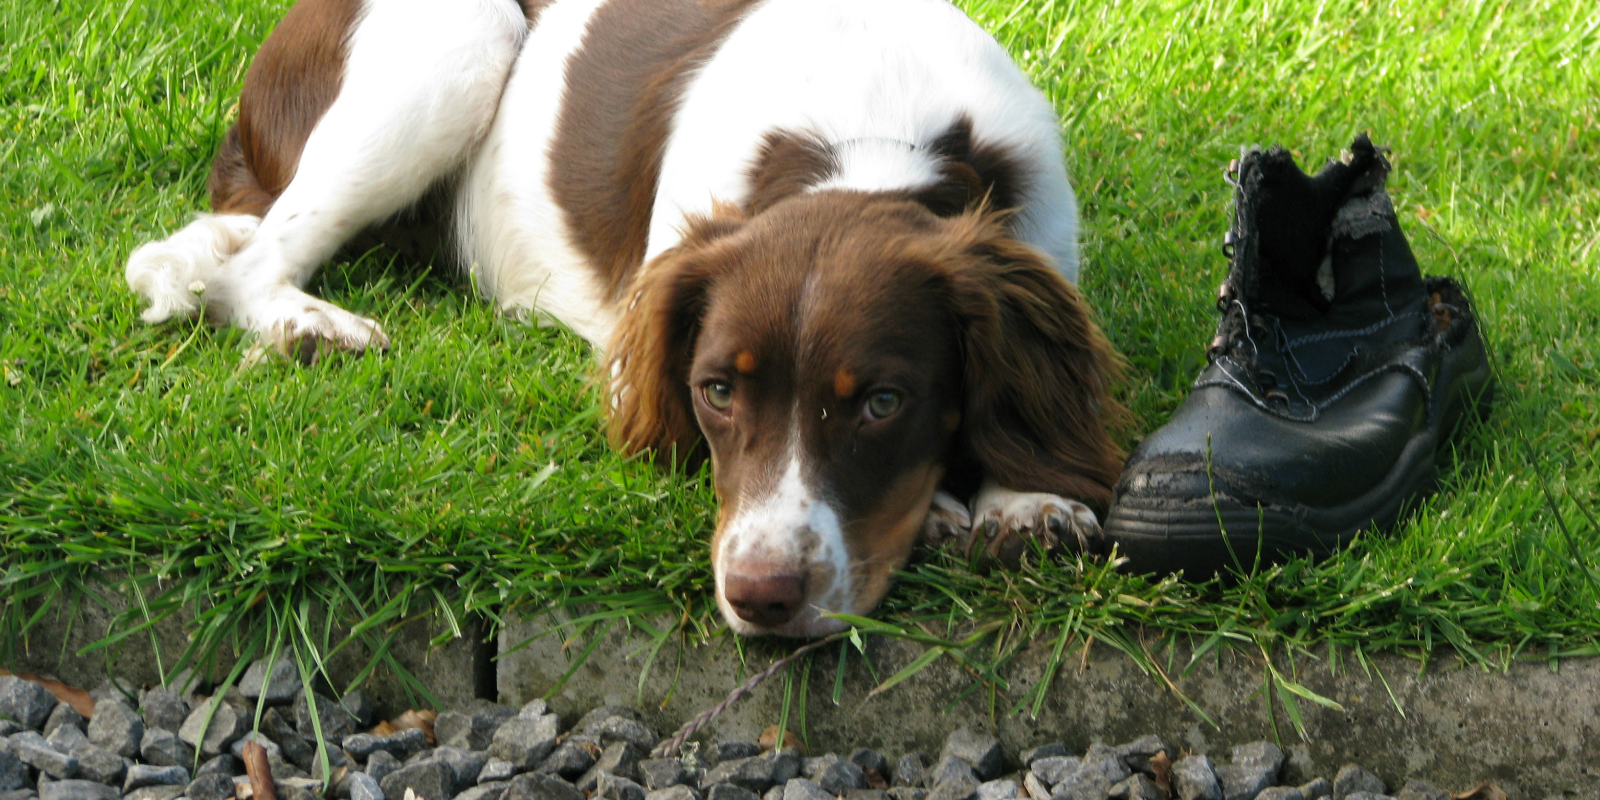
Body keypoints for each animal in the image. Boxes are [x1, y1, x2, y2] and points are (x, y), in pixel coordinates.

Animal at [124, 0, 1126, 636]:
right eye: (716, 391)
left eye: (884, 402)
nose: (761, 596)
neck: (869, 131)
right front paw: (956, 509)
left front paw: (1023, 498)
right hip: (459, 31)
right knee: (248, 266)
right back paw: (310, 329)